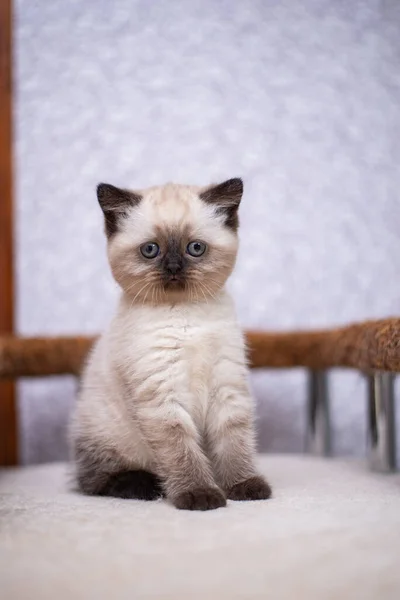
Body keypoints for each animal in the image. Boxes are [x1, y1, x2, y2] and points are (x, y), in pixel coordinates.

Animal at [71, 177, 272, 510]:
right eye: (150, 250)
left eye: (196, 248)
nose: (174, 267)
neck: (186, 317)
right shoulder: (162, 394)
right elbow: (182, 451)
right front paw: (200, 495)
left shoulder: (226, 386)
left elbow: (234, 443)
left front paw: (243, 486)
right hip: (107, 434)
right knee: (95, 481)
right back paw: (147, 488)